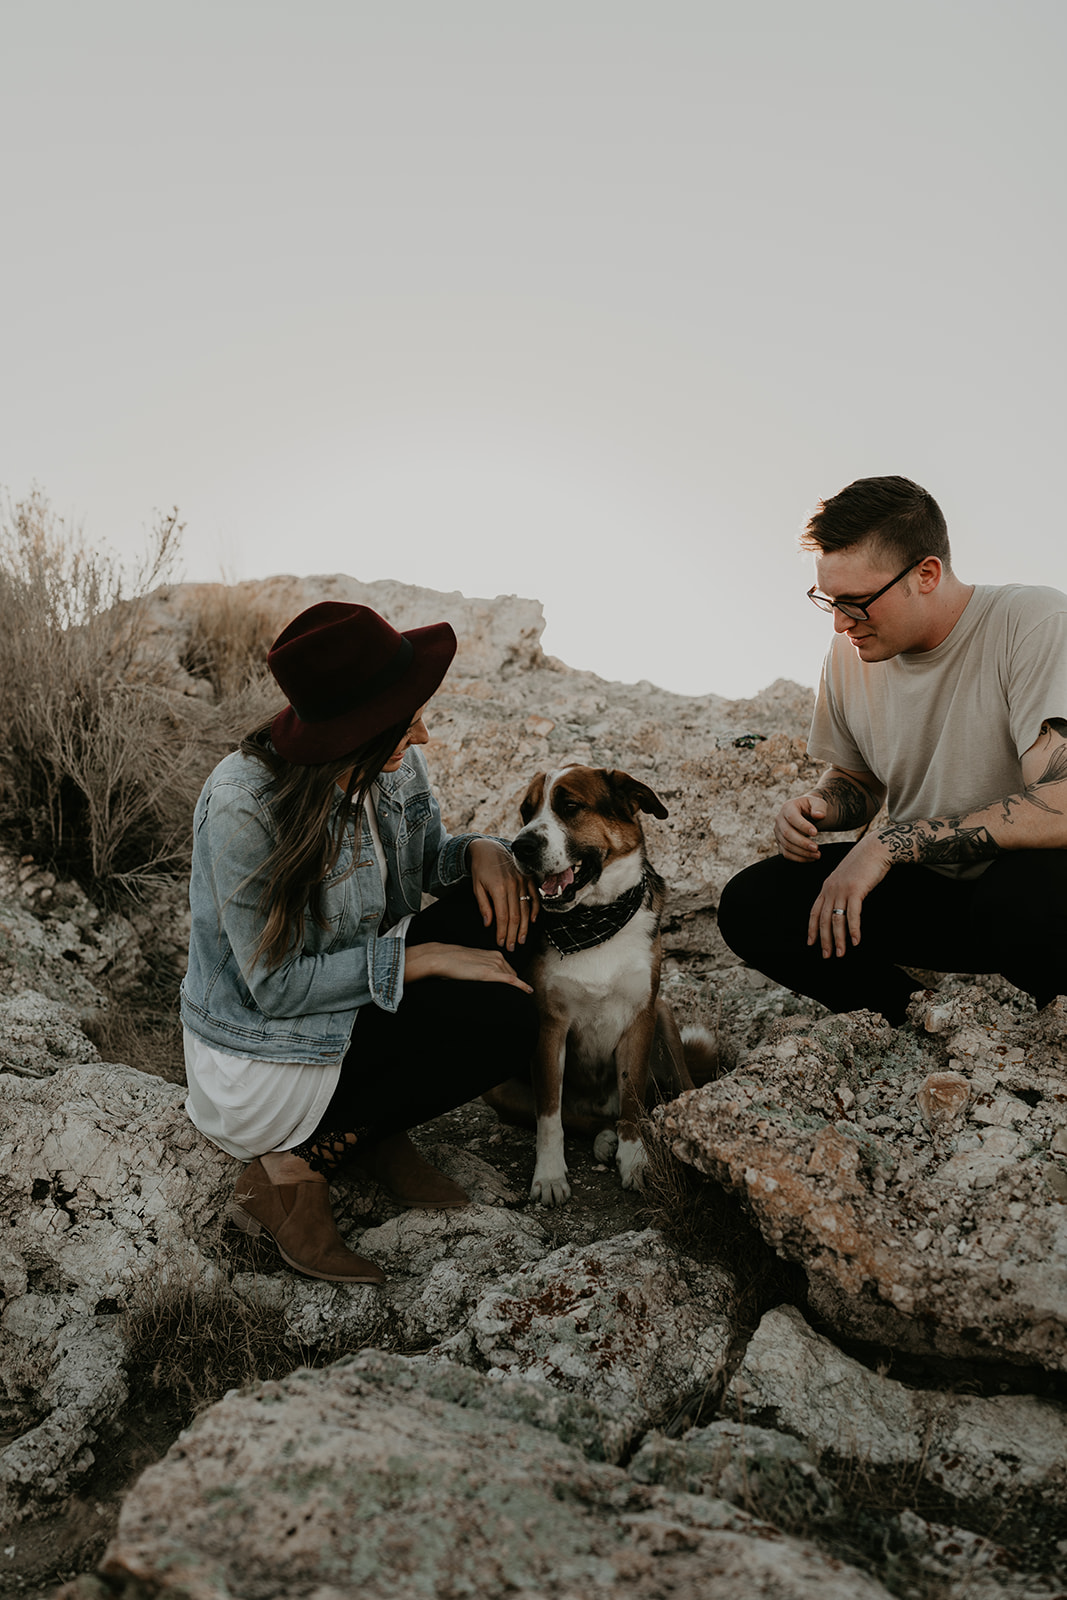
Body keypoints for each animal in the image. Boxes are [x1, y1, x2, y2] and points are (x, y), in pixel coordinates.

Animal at [486, 761, 703, 1203]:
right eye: (526, 811)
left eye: (570, 806)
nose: (520, 847)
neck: (594, 920)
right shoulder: (549, 1026)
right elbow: (550, 1116)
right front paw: (550, 1175)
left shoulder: (640, 1017)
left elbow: (633, 1100)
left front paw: (635, 1160)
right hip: (500, 1089)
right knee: (579, 1119)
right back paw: (604, 1138)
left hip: (663, 1013)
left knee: (665, 1090)